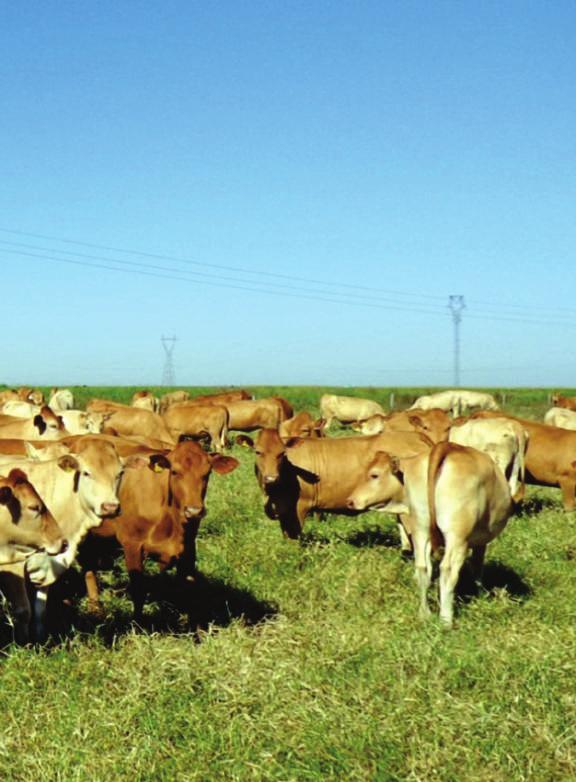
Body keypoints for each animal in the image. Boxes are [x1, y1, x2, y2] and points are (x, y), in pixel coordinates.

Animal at [80, 440, 237, 620]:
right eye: (175, 472)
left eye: (207, 473)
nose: (194, 511)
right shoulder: (132, 544)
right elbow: (139, 589)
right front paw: (138, 622)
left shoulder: (189, 547)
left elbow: (188, 590)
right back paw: (95, 608)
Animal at [238, 428, 432, 544]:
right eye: (258, 452)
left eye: (282, 453)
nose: (271, 478)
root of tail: (416, 436)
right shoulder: (283, 509)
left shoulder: (300, 506)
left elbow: (294, 538)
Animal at [346, 444, 512, 628]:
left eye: (373, 475)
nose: (350, 501)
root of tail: (446, 447)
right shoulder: (479, 541)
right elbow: (477, 567)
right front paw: (481, 594)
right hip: (457, 535)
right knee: (448, 570)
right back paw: (446, 620)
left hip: (421, 527)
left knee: (422, 567)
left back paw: (424, 614)